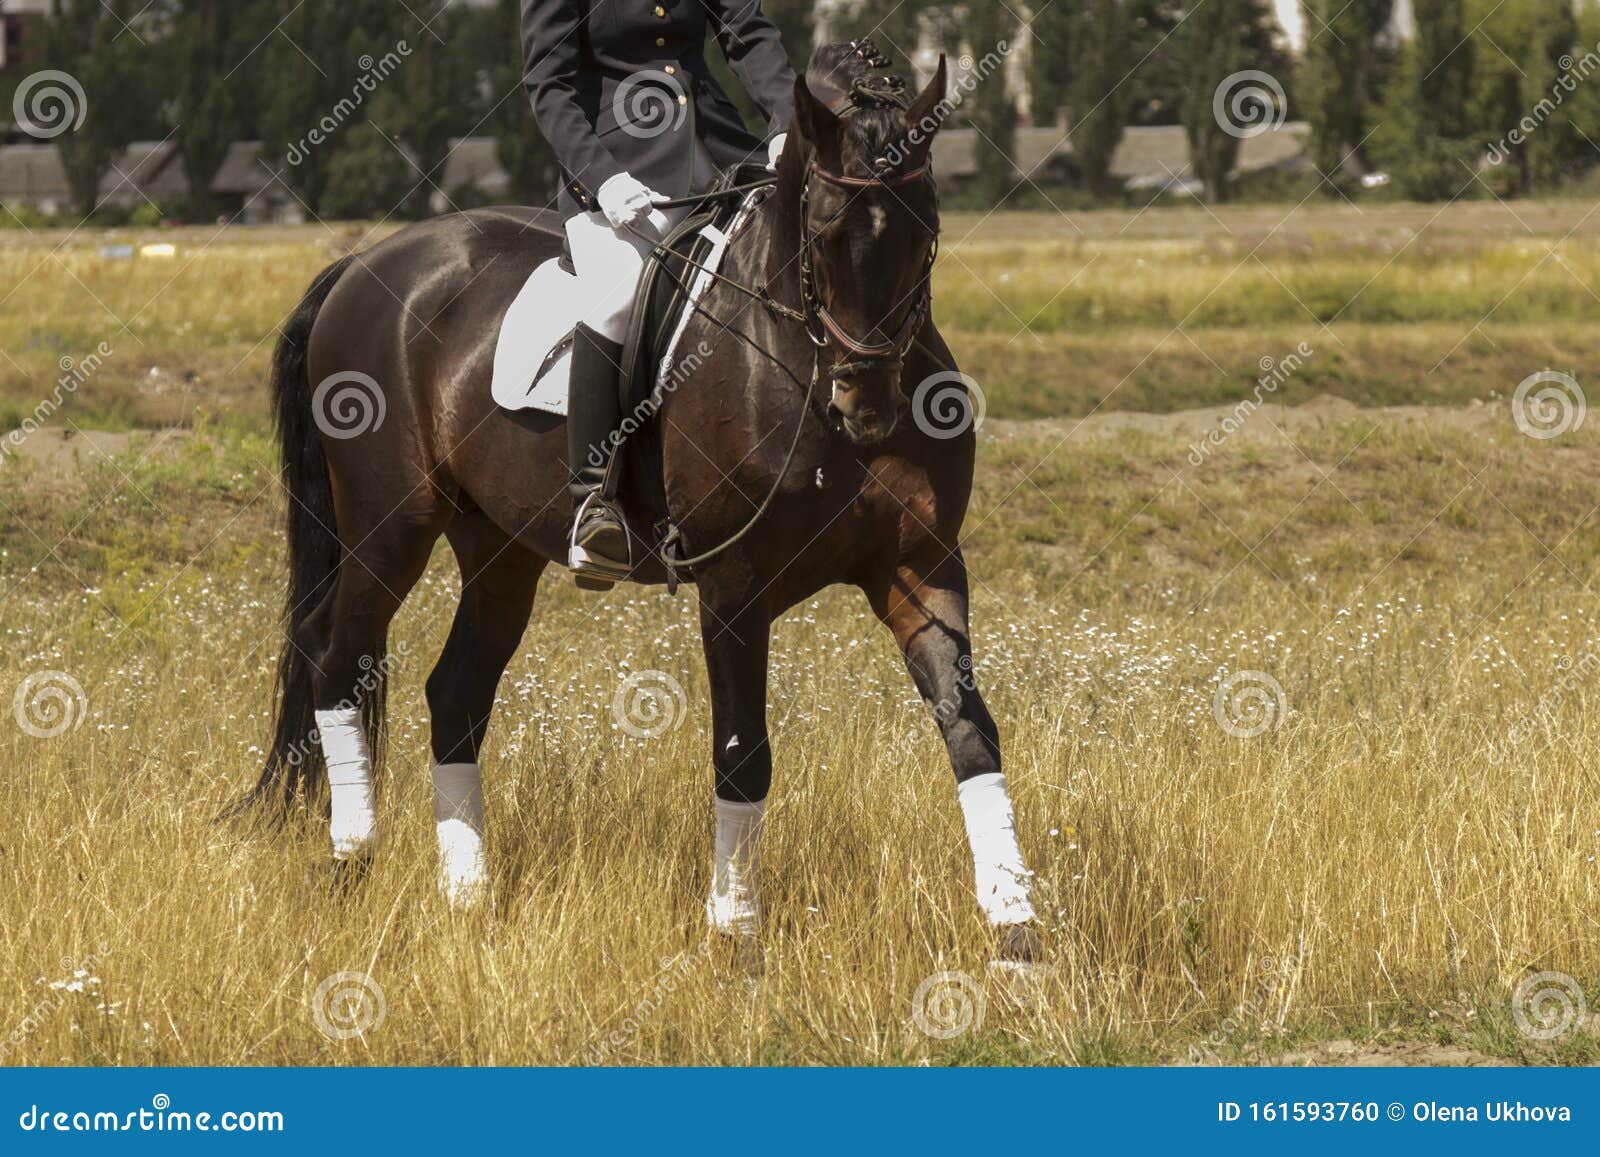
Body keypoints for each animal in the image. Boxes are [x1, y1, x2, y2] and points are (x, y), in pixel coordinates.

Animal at [232, 45, 1040, 963]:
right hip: (387, 528)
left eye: (926, 228)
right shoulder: (733, 586)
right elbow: (742, 751)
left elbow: (971, 729)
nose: (865, 406)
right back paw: (352, 857)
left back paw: (468, 893)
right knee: (337, 661)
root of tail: (363, 266)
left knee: (456, 693)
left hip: (499, 550)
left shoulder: (919, 567)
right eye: (826, 232)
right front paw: (735, 931)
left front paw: (1015, 926)